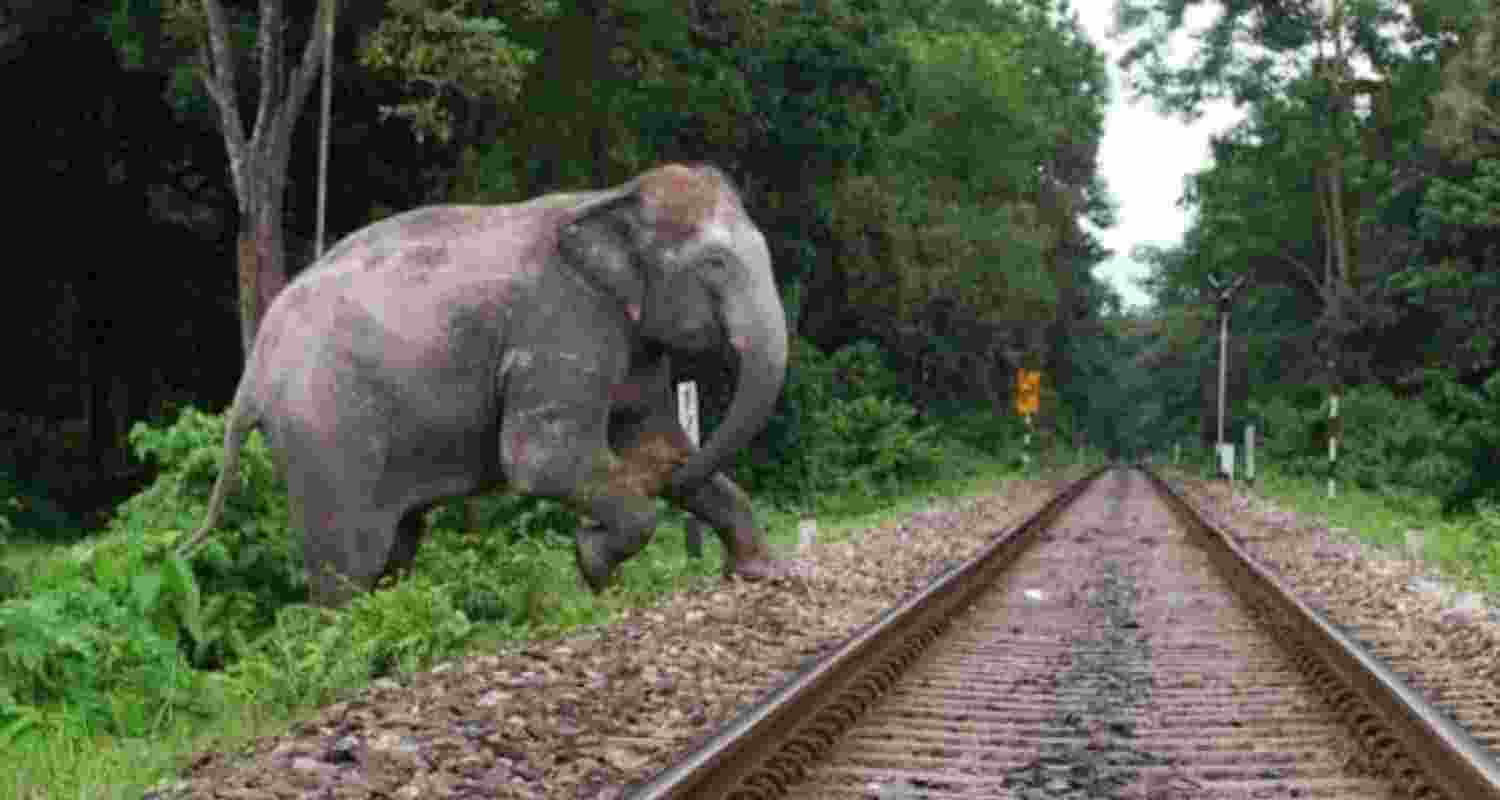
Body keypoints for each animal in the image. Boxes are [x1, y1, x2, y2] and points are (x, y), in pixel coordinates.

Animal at [185, 163, 791, 606]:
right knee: (350, 562)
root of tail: (252, 375)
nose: (658, 480)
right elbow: (541, 459)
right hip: (326, 430)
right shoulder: (562, 323)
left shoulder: (630, 339)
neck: (612, 196)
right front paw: (594, 561)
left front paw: (761, 573)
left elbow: (653, 437)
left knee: (396, 546)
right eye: (715, 264)